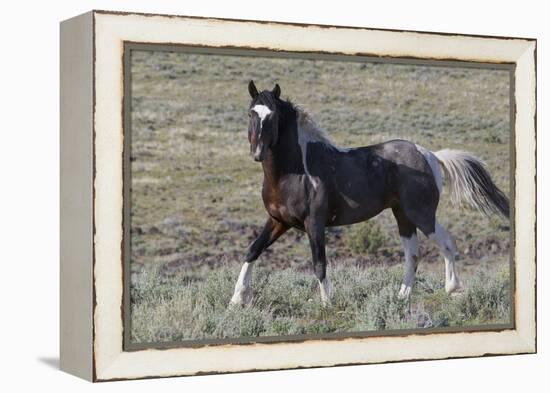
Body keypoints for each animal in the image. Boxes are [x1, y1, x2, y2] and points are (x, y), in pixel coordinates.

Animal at [231, 80, 512, 306]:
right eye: (250, 113)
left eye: (274, 116)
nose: (257, 152)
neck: (294, 172)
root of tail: (430, 155)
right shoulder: (278, 221)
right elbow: (252, 251)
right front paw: (236, 300)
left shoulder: (315, 223)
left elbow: (319, 263)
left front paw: (327, 304)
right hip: (403, 216)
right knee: (413, 254)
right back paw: (401, 297)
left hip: (421, 213)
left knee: (446, 243)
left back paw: (452, 289)